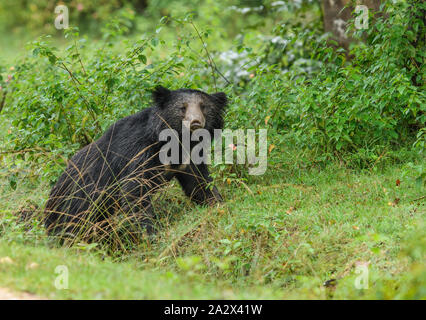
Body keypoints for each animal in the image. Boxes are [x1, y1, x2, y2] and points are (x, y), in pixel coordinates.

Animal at [44, 86, 226, 239]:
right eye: (183, 108)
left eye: (203, 107)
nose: (195, 122)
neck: (177, 142)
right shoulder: (138, 153)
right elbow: (134, 192)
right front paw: (151, 233)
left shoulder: (188, 159)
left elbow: (199, 182)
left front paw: (217, 203)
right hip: (77, 203)